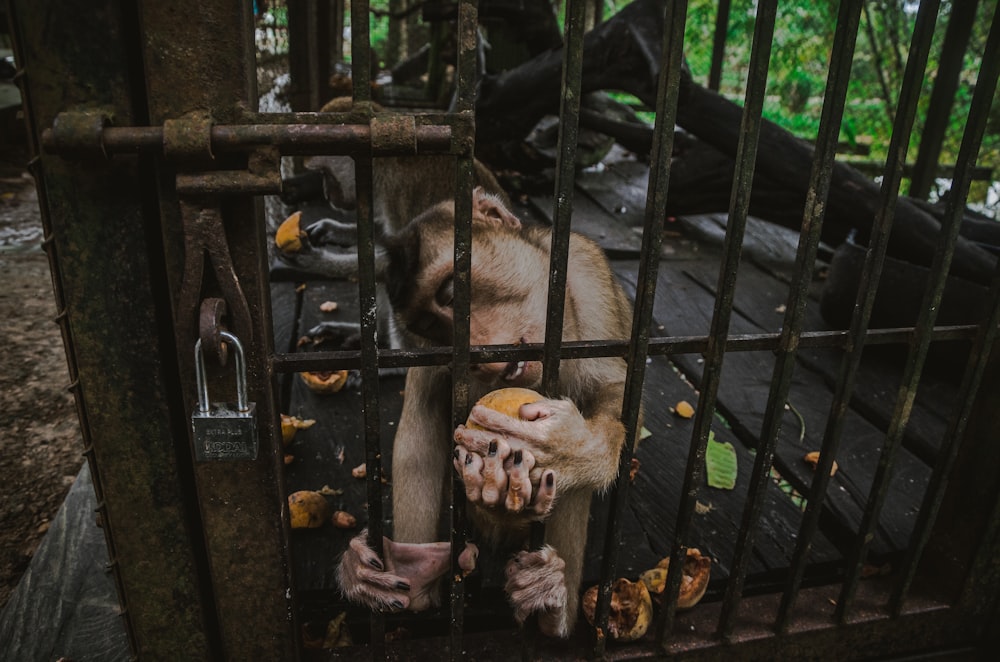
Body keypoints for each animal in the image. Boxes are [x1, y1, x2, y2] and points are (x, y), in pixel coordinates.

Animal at [336, 185, 632, 640]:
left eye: (452, 296)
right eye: (431, 328)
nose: (476, 355)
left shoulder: (589, 280)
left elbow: (614, 396)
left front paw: (566, 447)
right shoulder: (428, 354)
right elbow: (420, 431)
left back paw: (550, 608)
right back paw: (417, 573)